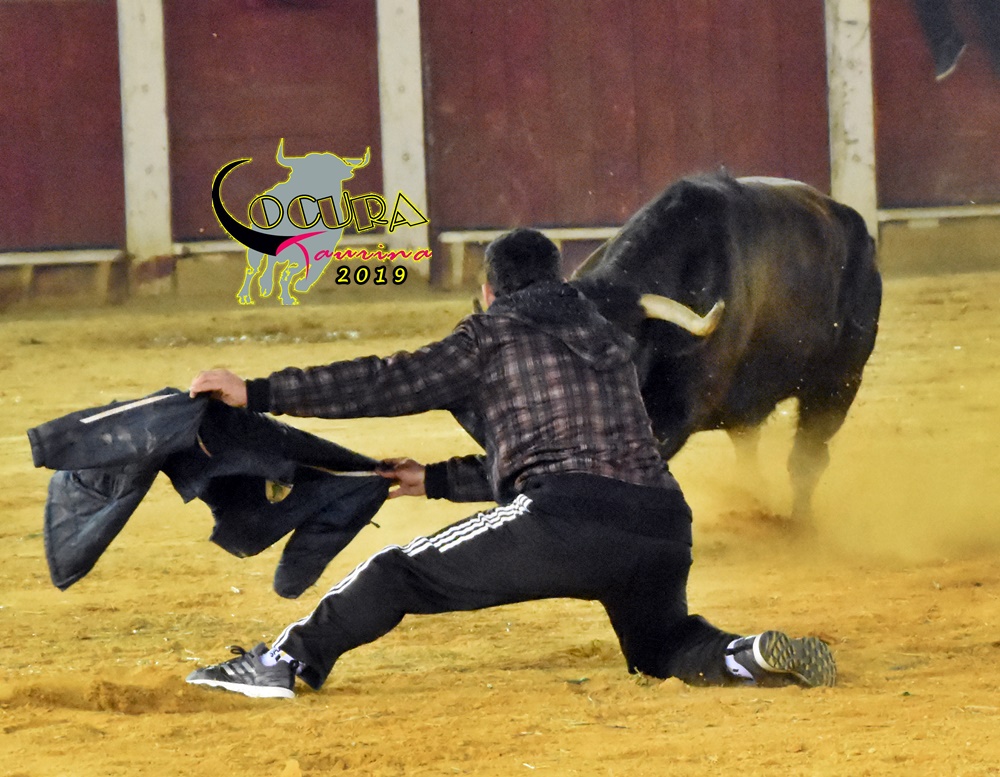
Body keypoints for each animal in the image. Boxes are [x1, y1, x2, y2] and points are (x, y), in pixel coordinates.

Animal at [213, 139, 370, 306]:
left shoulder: (324, 247)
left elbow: (306, 269)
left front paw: (299, 287)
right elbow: (285, 272)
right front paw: (287, 296)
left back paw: (266, 286)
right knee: (253, 269)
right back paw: (247, 295)